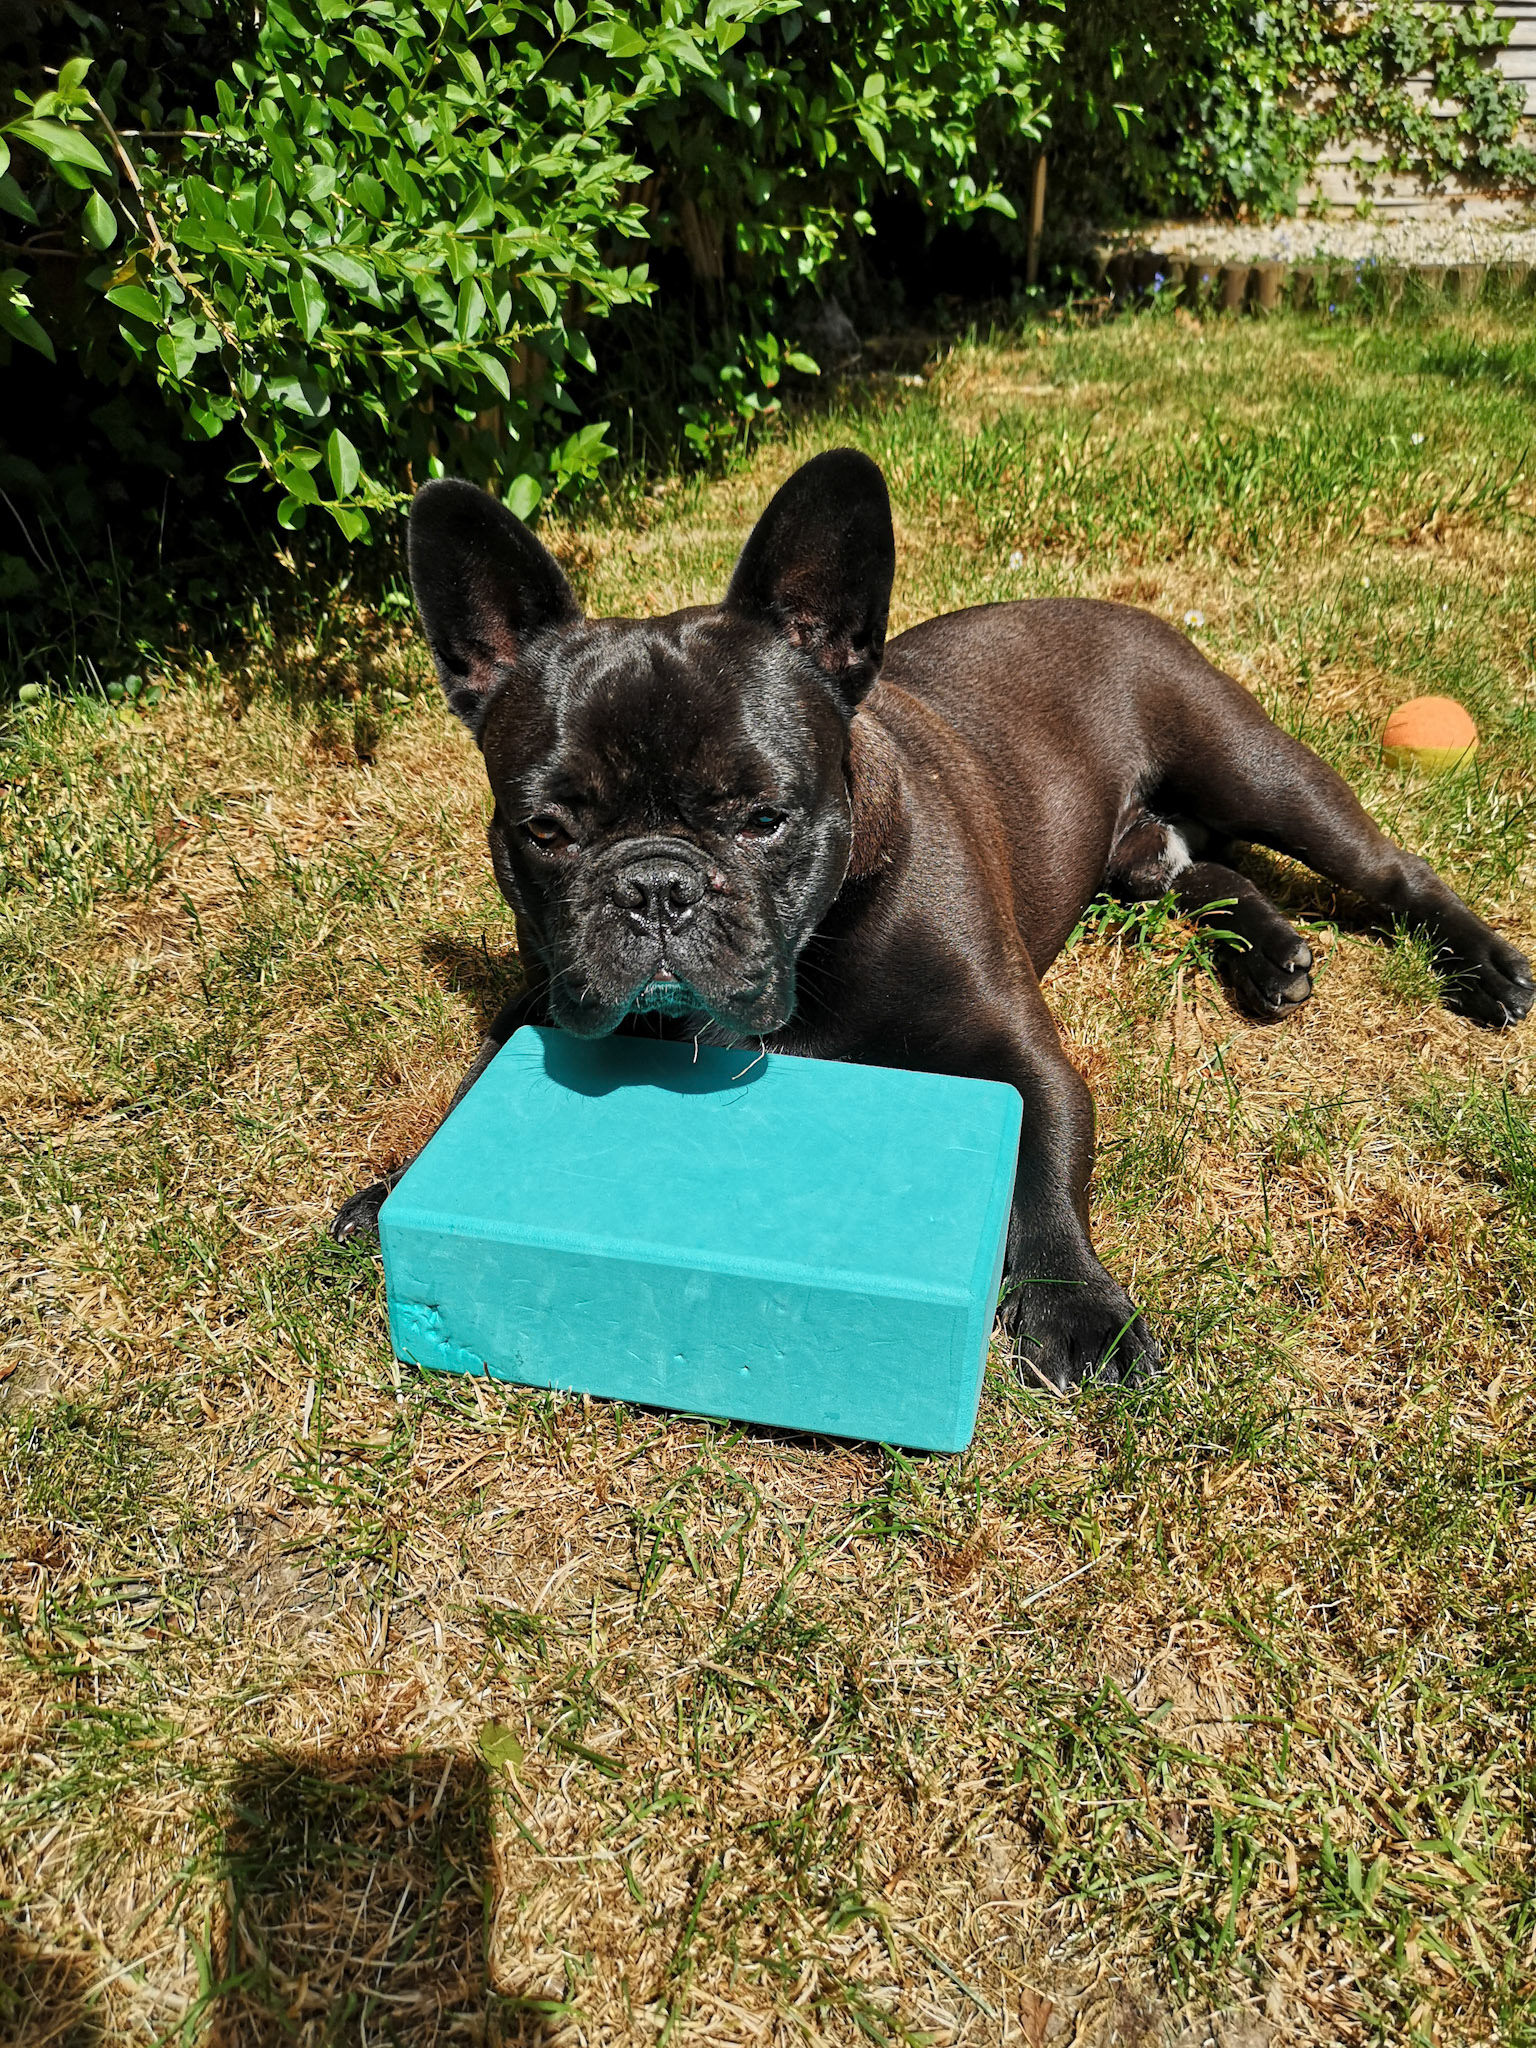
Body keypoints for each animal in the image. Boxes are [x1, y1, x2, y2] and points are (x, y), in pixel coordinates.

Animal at [334, 449, 1533, 1389]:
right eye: (545, 830)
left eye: (765, 817)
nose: (659, 885)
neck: (818, 943)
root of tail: (1112, 606)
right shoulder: (543, 995)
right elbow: (467, 1094)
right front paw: (391, 1190)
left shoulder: (1019, 1053)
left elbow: (1041, 1172)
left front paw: (1081, 1311)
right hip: (1145, 854)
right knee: (1207, 873)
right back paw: (1275, 957)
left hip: (1256, 767)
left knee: (1388, 869)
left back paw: (1485, 969)